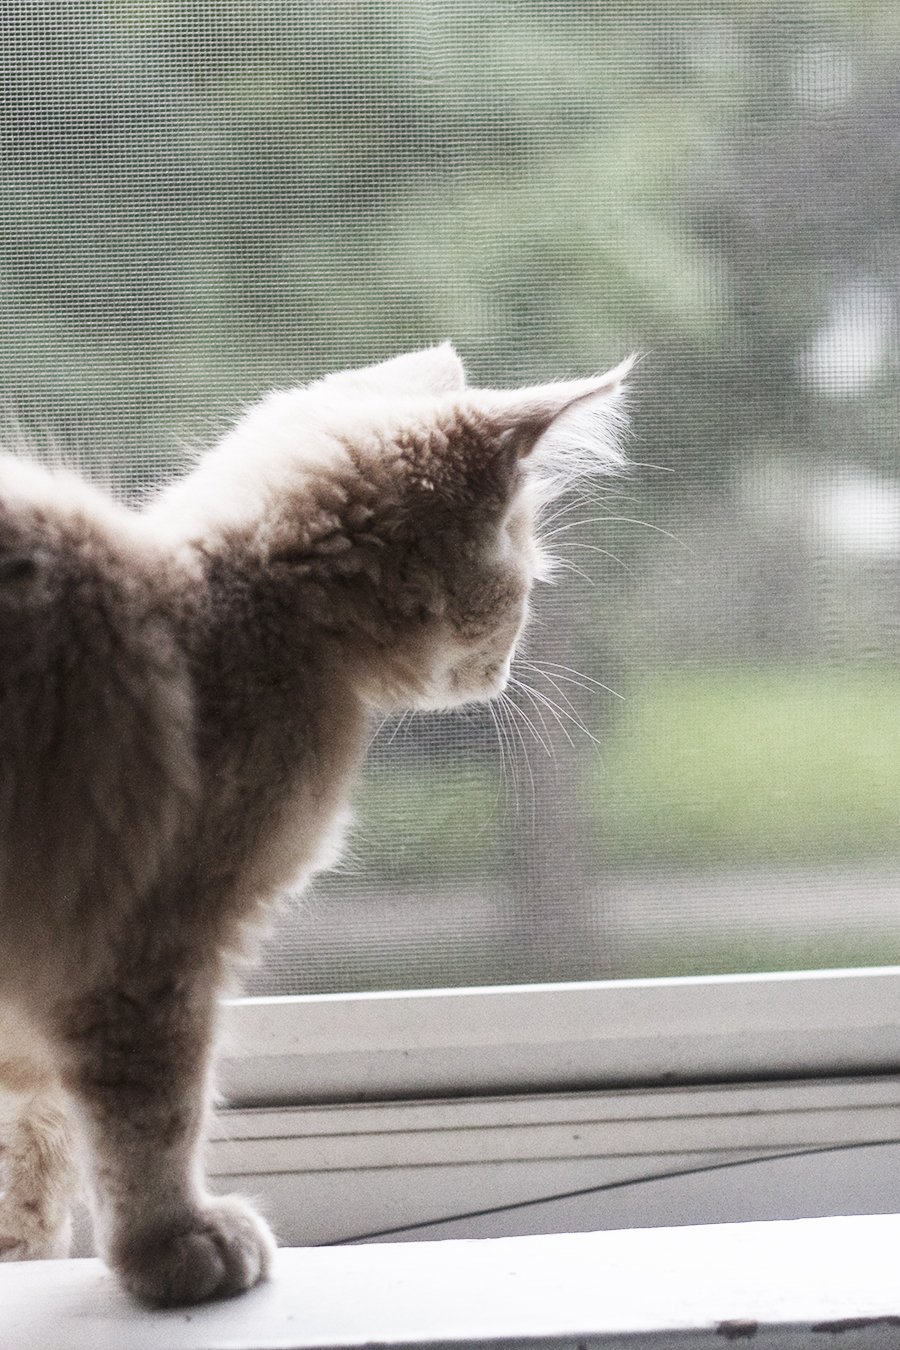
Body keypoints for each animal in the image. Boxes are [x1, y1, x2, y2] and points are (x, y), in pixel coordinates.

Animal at [0, 342, 631, 1301]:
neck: (238, 607)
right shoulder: (145, 943)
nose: (511, 663)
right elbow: (152, 1116)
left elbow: (35, 1148)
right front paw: (171, 1244)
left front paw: (26, 1257)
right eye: (526, 580)